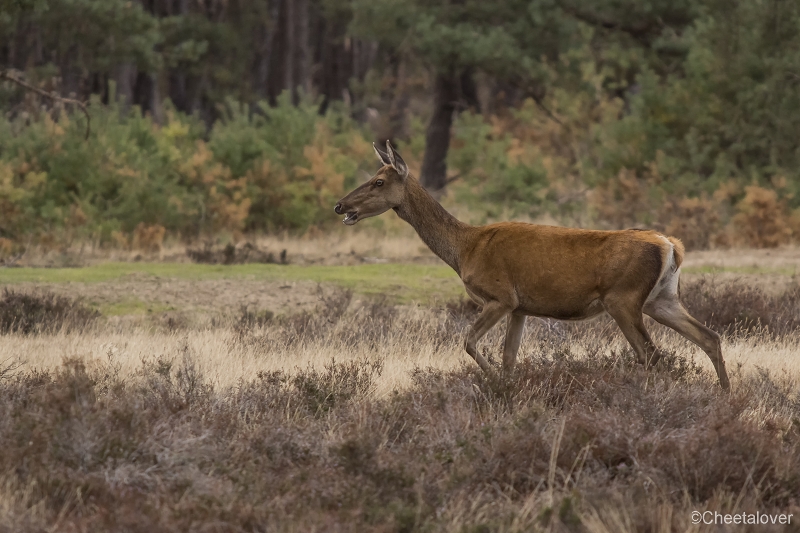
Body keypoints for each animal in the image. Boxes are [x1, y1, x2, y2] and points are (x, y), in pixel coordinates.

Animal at [334, 141, 728, 388]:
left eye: (378, 181)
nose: (340, 205)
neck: (464, 249)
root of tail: (671, 246)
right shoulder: (521, 307)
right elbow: (510, 357)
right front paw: (508, 389)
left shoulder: (500, 296)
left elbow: (469, 343)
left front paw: (494, 384)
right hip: (662, 298)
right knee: (709, 337)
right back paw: (725, 396)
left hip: (624, 298)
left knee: (650, 353)